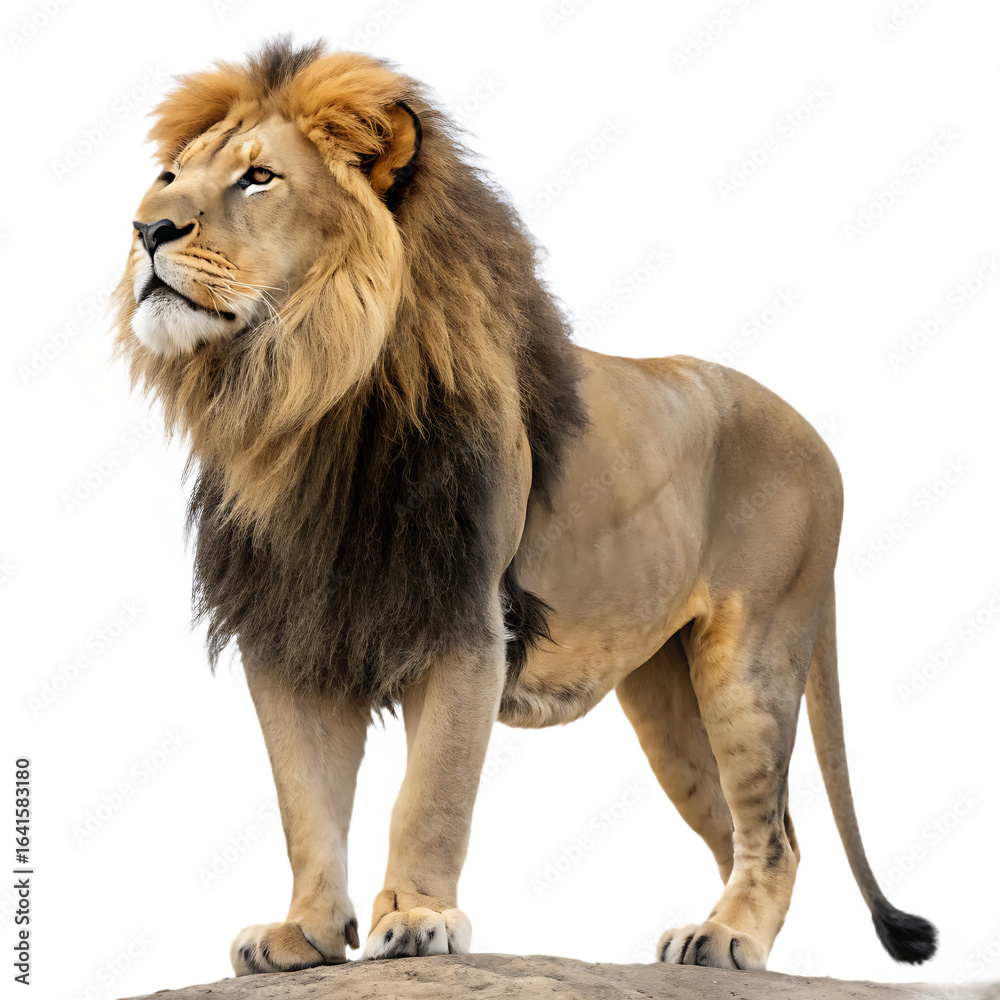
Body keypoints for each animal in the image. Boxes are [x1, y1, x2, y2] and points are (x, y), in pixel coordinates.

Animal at [114, 38, 937, 974]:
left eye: (257, 178)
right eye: (168, 176)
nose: (147, 230)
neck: (300, 399)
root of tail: (820, 436)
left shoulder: (467, 621)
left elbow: (430, 794)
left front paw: (419, 919)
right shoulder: (291, 633)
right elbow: (304, 803)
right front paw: (307, 935)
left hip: (753, 654)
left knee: (776, 835)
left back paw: (727, 938)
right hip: (667, 694)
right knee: (738, 830)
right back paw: (725, 941)